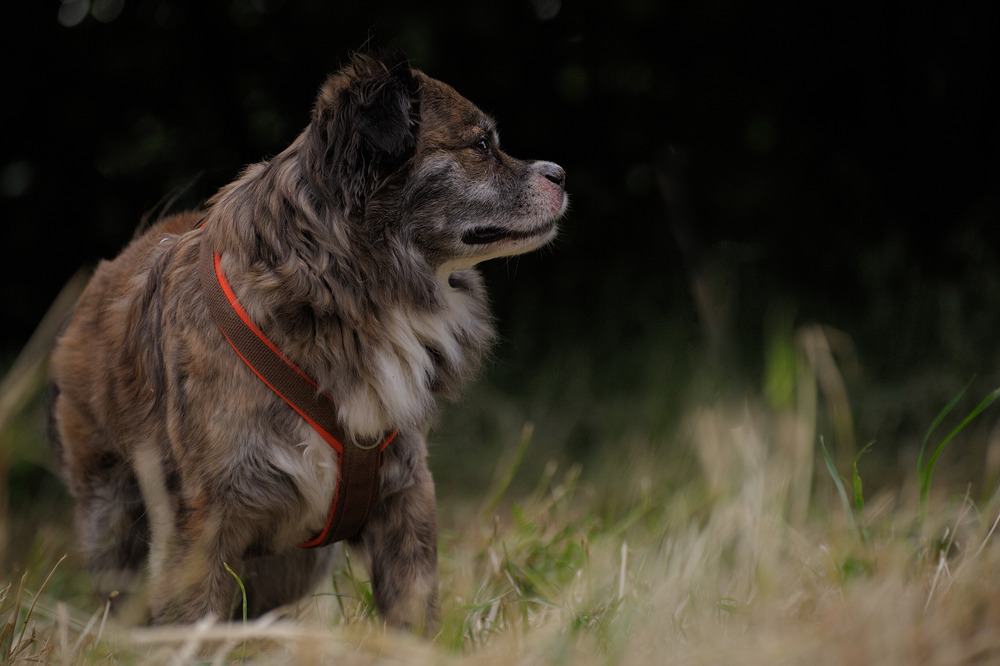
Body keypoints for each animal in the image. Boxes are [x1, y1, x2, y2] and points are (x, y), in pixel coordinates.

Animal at [47, 49, 568, 632]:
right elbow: (195, 617)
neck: (337, 294)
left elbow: (414, 611)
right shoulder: (205, 520)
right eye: (480, 145)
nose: (560, 173)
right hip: (114, 522)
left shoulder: (403, 496)